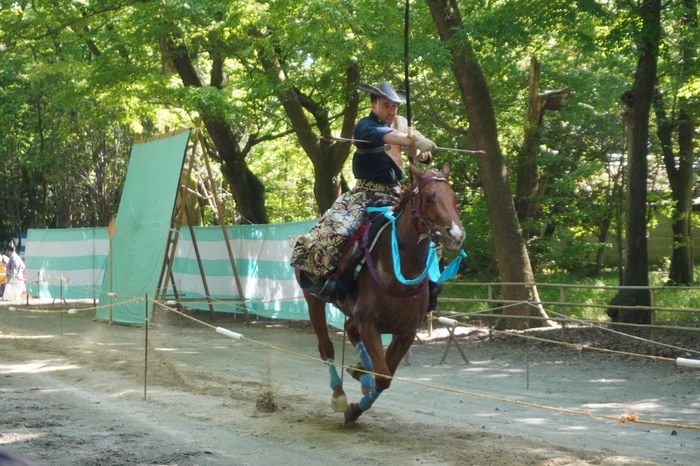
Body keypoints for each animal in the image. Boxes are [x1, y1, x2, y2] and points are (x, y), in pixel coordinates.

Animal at [296, 162, 465, 423]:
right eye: (429, 198)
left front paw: (358, 399)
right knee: (326, 348)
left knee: (349, 328)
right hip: (313, 298)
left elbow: (386, 376)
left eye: (455, 199)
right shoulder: (369, 323)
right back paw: (339, 394)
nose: (455, 235)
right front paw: (359, 387)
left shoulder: (406, 332)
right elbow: (382, 376)